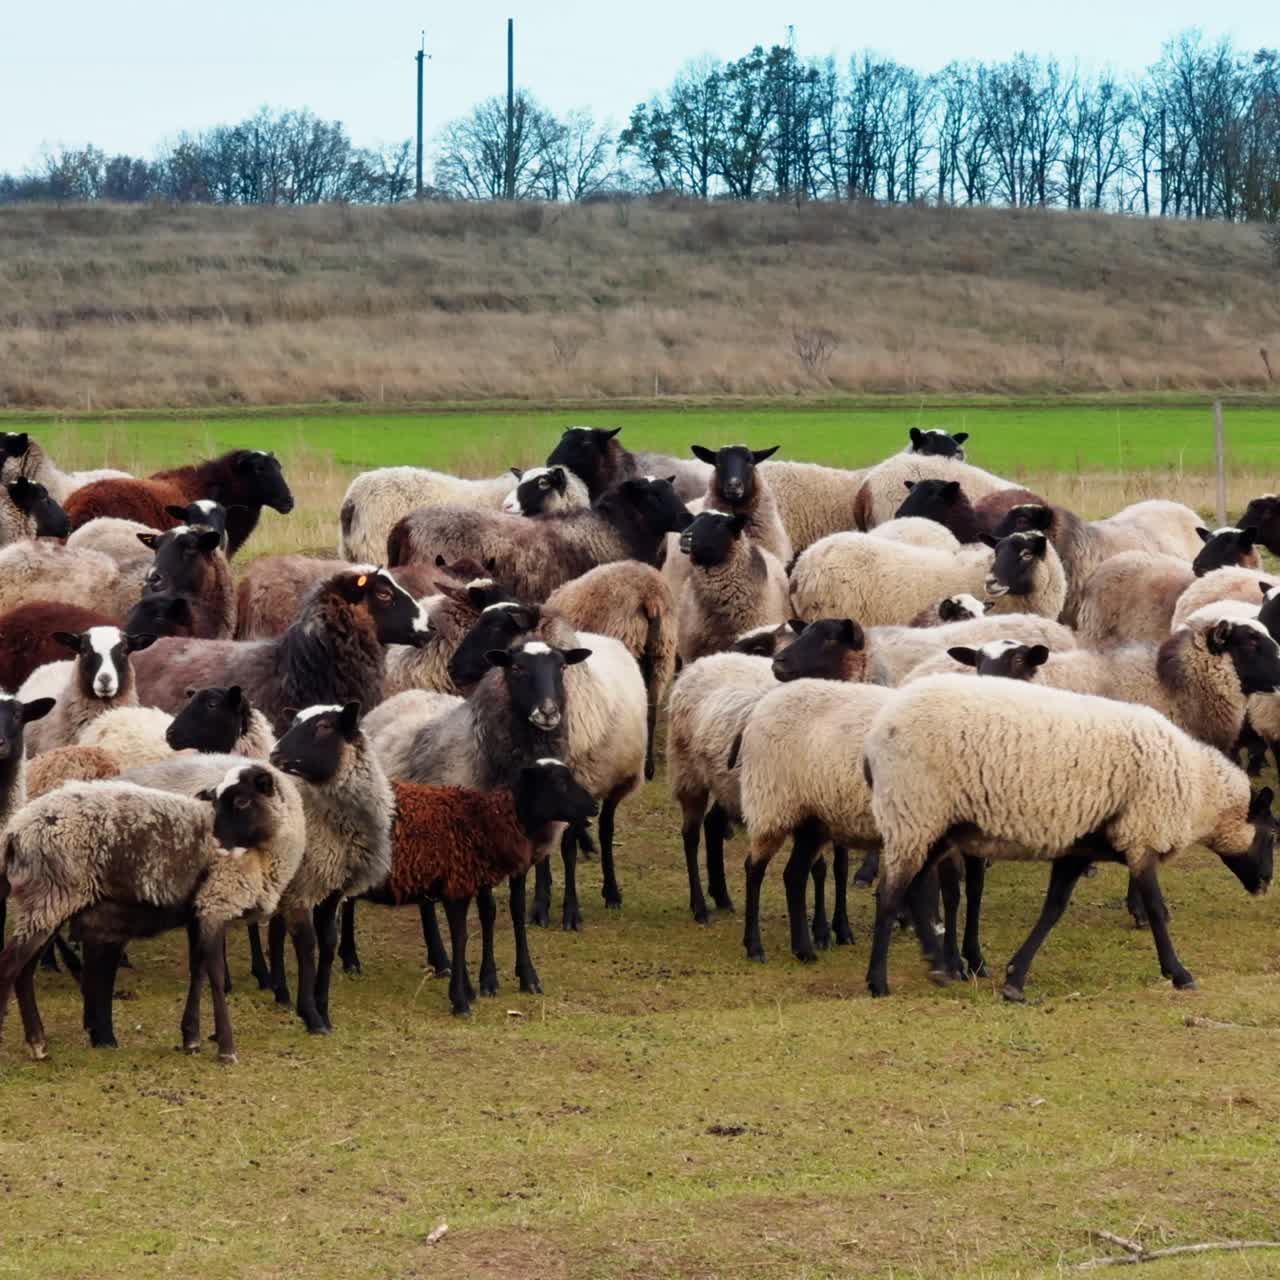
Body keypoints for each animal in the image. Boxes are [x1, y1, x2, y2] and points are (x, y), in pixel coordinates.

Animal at [0, 763, 305, 1061]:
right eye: (217, 799)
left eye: (242, 801)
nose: (214, 840)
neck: (265, 854)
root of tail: (15, 831)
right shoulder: (215, 903)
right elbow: (216, 976)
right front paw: (226, 1048)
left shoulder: (199, 912)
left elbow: (198, 971)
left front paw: (191, 1038)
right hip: (50, 897)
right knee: (9, 967)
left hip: (46, 902)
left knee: (24, 973)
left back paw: (38, 1044)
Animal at [861, 674, 1277, 1000]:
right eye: (1273, 835)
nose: (1265, 883)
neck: (1198, 791)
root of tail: (875, 736)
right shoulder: (1141, 837)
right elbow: (1157, 910)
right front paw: (1179, 973)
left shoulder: (1081, 846)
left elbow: (1053, 909)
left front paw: (1015, 978)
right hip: (912, 812)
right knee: (890, 894)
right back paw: (879, 982)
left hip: (933, 827)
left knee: (914, 889)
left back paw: (937, 965)